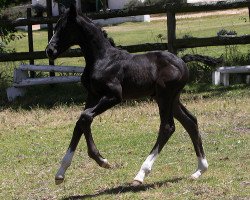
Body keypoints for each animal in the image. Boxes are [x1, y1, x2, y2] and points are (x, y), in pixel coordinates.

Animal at [46, 4, 208, 186]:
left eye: (65, 27)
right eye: (56, 26)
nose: (49, 51)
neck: (103, 59)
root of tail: (182, 61)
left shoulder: (114, 96)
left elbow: (85, 117)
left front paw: (102, 160)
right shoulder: (92, 95)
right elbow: (82, 122)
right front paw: (61, 173)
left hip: (164, 96)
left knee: (168, 127)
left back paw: (141, 174)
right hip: (171, 98)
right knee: (191, 121)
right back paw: (199, 170)